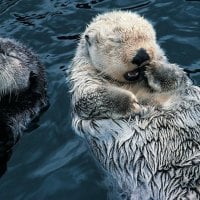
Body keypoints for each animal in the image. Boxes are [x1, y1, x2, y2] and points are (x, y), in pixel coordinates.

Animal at [68, 11, 200, 200]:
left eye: (147, 36)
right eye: (115, 40)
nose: (142, 55)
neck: (133, 85)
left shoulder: (179, 83)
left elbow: (177, 77)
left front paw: (154, 69)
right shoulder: (83, 82)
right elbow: (90, 99)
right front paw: (133, 104)